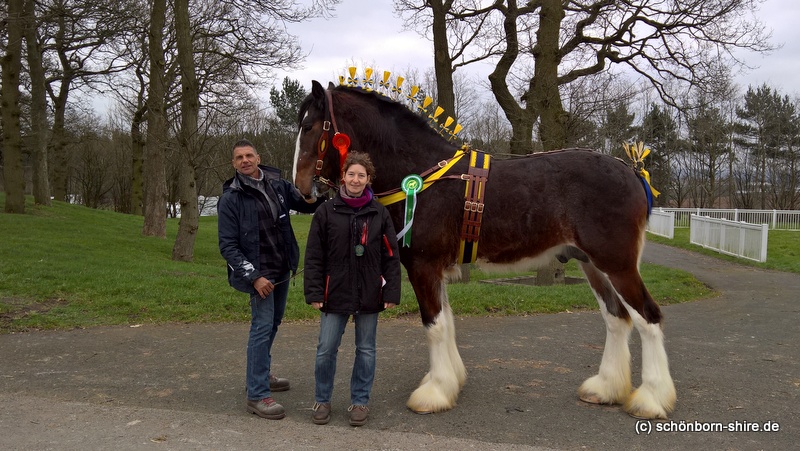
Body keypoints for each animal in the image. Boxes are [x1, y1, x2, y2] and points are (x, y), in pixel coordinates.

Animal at [292, 80, 676, 420]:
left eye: (309, 126)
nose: (300, 190)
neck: (422, 175)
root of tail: (633, 171)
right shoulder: (436, 270)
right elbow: (446, 322)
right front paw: (448, 381)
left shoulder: (423, 266)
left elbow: (434, 325)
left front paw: (434, 393)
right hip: (593, 265)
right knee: (617, 318)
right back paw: (606, 388)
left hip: (618, 264)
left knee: (648, 318)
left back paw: (651, 399)